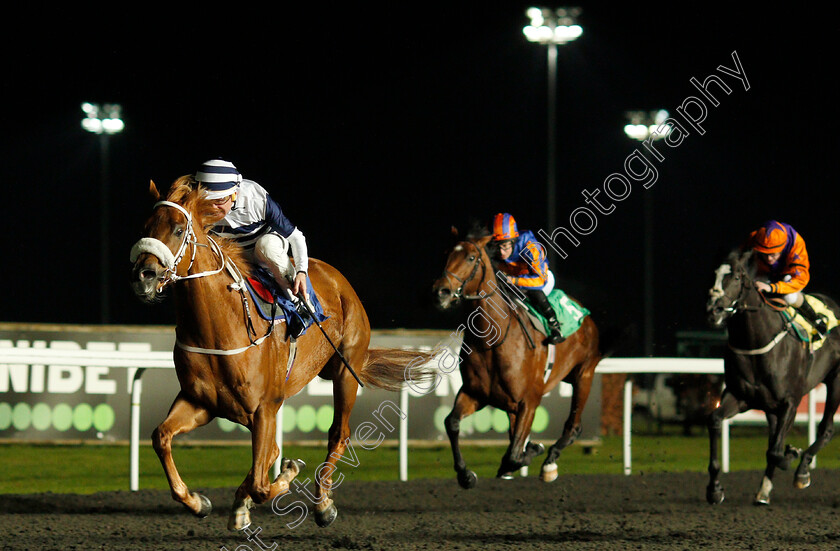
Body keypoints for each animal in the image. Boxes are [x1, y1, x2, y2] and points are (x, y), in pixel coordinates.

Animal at [133, 177, 434, 532]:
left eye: (179, 229)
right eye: (146, 226)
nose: (144, 276)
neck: (223, 326)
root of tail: (334, 275)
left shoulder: (264, 406)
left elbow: (263, 483)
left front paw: (287, 475)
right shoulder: (202, 402)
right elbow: (161, 436)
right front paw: (198, 502)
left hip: (346, 370)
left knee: (338, 434)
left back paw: (323, 504)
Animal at [430, 229, 600, 488]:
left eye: (471, 258)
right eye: (446, 253)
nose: (441, 292)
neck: (491, 342)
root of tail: (584, 313)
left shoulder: (529, 400)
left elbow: (513, 455)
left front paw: (533, 450)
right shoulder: (474, 393)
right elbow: (452, 423)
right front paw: (465, 474)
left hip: (584, 374)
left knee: (573, 427)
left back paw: (549, 464)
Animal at [704, 249, 840, 504]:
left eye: (736, 277)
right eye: (713, 275)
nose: (713, 311)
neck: (756, 343)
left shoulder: (790, 402)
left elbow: (776, 451)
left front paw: (792, 455)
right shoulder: (739, 396)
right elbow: (715, 420)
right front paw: (714, 488)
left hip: (836, 381)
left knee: (825, 430)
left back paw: (802, 471)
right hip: (769, 406)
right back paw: (764, 490)